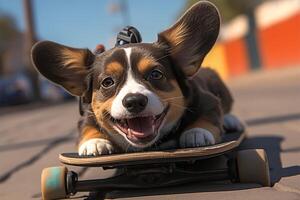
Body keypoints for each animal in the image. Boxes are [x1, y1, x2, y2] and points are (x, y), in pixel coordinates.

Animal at [31, 0, 236, 155]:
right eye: (107, 82)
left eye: (155, 74)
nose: (134, 101)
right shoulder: (86, 116)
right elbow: (87, 128)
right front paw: (94, 143)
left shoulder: (207, 99)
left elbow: (209, 115)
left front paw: (196, 131)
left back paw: (231, 120)